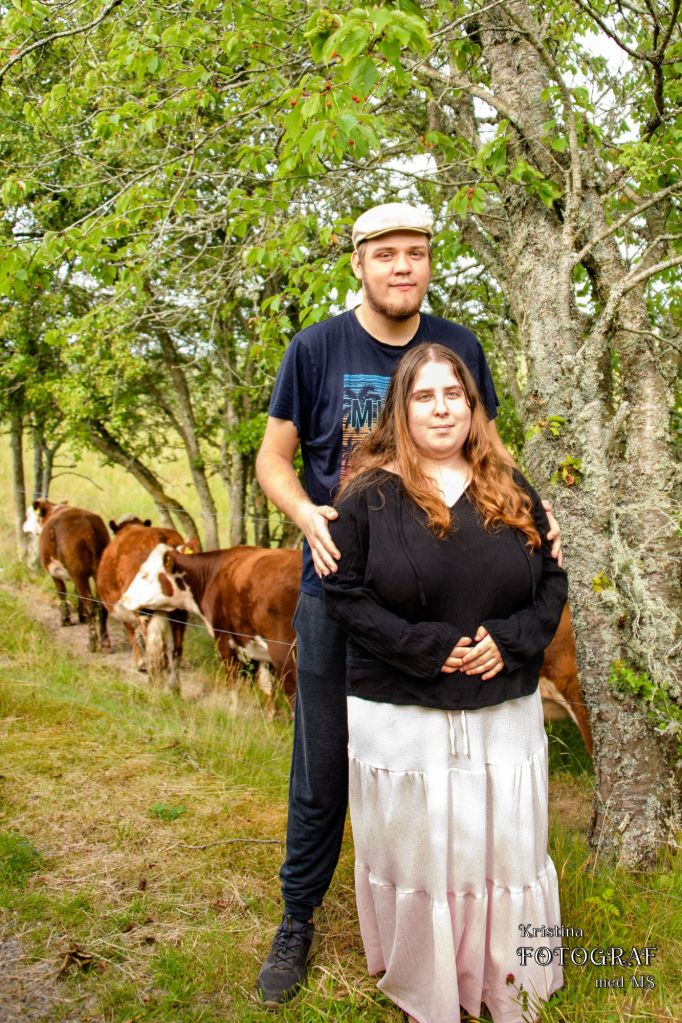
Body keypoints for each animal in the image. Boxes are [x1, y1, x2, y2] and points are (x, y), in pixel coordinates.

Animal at [23, 500, 110, 651]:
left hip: (78, 573)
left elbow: (61, 593)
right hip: (98, 571)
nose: (24, 526)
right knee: (101, 604)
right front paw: (82, 617)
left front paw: (65, 620)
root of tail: (88, 523)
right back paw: (105, 641)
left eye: (28, 514)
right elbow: (76, 593)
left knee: (91, 604)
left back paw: (92, 643)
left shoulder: (54, 571)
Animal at [96, 517, 197, 690]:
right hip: (180, 612)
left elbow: (131, 632)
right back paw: (175, 687)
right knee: (176, 649)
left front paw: (139, 662)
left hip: (144, 610)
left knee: (156, 648)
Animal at [118, 545, 301, 712]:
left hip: (285, 654)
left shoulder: (224, 640)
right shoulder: (254, 647)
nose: (124, 599)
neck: (211, 575)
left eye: (144, 574)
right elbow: (266, 688)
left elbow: (234, 683)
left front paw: (233, 714)